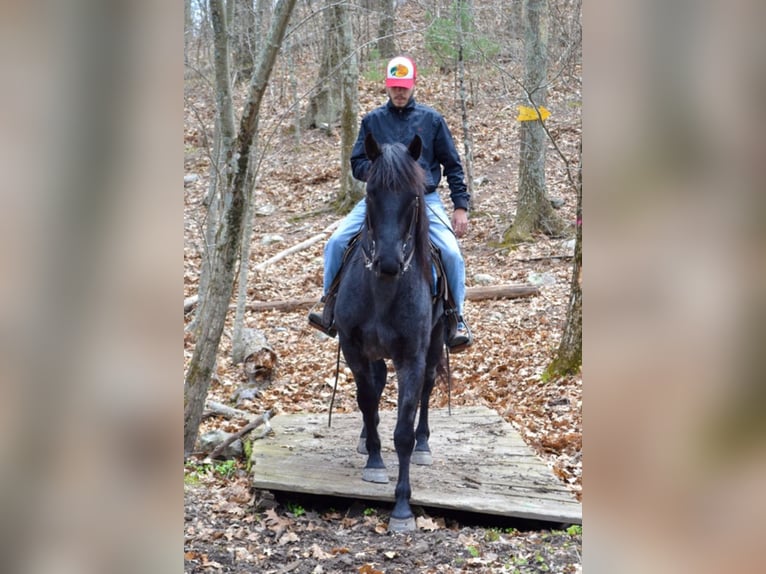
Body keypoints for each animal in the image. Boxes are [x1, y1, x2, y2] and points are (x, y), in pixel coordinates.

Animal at [334, 133, 448, 532]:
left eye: (413, 197)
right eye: (370, 193)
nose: (387, 262)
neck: (383, 290)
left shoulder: (412, 358)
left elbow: (404, 430)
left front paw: (401, 507)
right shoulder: (353, 347)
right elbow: (367, 401)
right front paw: (374, 461)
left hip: (435, 345)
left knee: (428, 391)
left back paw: (425, 444)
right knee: (374, 386)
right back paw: (366, 439)